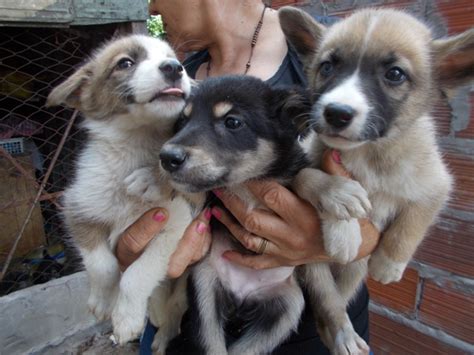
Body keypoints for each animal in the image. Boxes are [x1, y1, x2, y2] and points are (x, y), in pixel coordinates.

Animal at [46, 34, 206, 350]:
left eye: (171, 57)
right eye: (125, 63)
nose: (175, 67)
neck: (137, 143)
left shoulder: (176, 227)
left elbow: (136, 275)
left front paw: (126, 319)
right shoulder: (76, 208)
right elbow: (103, 265)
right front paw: (102, 302)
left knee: (173, 313)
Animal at [280, 6, 472, 355]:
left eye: (395, 74)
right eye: (327, 66)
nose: (336, 113)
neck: (367, 154)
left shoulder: (437, 183)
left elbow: (415, 218)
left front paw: (389, 264)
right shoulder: (305, 160)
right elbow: (310, 176)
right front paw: (343, 219)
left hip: (354, 270)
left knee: (336, 301)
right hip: (313, 268)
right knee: (330, 302)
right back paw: (341, 332)